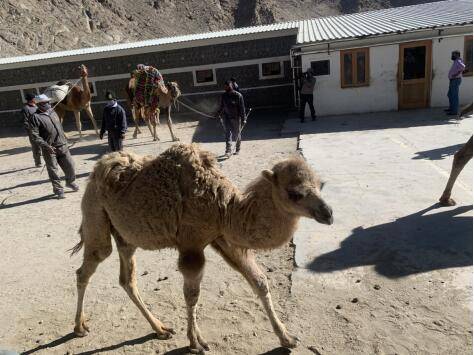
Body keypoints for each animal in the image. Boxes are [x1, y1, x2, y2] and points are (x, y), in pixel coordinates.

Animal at [69, 144, 334, 354]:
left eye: (321, 184)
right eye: (294, 193)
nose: (328, 213)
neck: (225, 207)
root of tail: (95, 173)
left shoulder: (223, 237)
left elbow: (259, 281)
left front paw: (287, 338)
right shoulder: (192, 244)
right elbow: (192, 294)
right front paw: (196, 343)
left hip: (126, 236)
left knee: (127, 278)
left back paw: (160, 329)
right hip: (95, 214)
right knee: (89, 264)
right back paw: (79, 327)